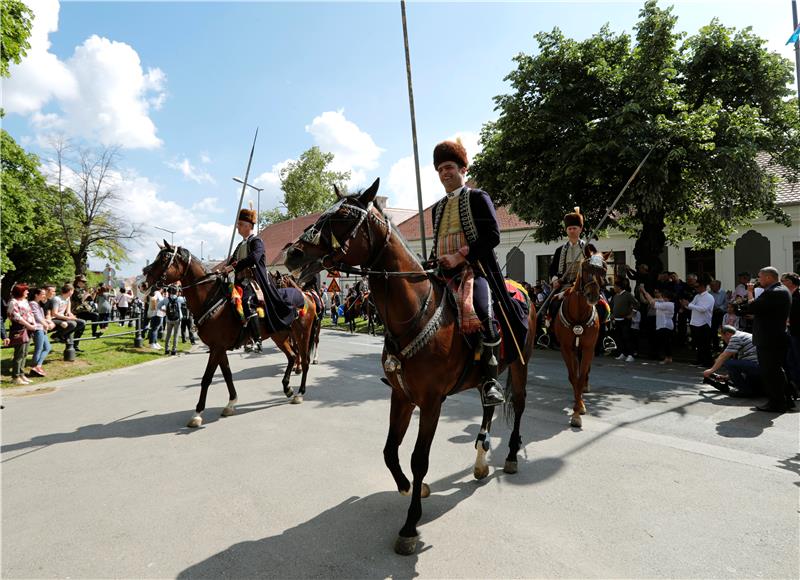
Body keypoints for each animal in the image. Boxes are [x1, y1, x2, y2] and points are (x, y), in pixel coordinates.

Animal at [142, 242, 318, 424]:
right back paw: (287, 387)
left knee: (304, 360)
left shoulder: (217, 348)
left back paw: (299, 393)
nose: (143, 283)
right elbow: (227, 374)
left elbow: (207, 378)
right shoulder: (219, 348)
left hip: (302, 334)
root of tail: (306, 296)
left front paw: (197, 413)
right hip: (280, 336)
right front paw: (231, 403)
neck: (211, 300)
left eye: (164, 258)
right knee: (292, 356)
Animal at [282, 179, 536, 556]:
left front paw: (410, 525)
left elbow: (419, 459)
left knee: (517, 404)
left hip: (520, 362)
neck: (414, 312)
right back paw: (480, 459)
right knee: (488, 406)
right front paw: (410, 487)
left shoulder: (430, 403)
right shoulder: (401, 397)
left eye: (343, 216)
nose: (293, 253)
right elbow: (390, 451)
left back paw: (511, 457)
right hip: (482, 376)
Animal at [552, 251, 608, 428]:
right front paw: (577, 410)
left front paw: (578, 410)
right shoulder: (566, 348)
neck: (578, 314)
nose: (593, 295)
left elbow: (581, 377)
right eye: (586, 267)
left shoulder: (589, 348)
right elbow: (573, 377)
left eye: (603, 270)